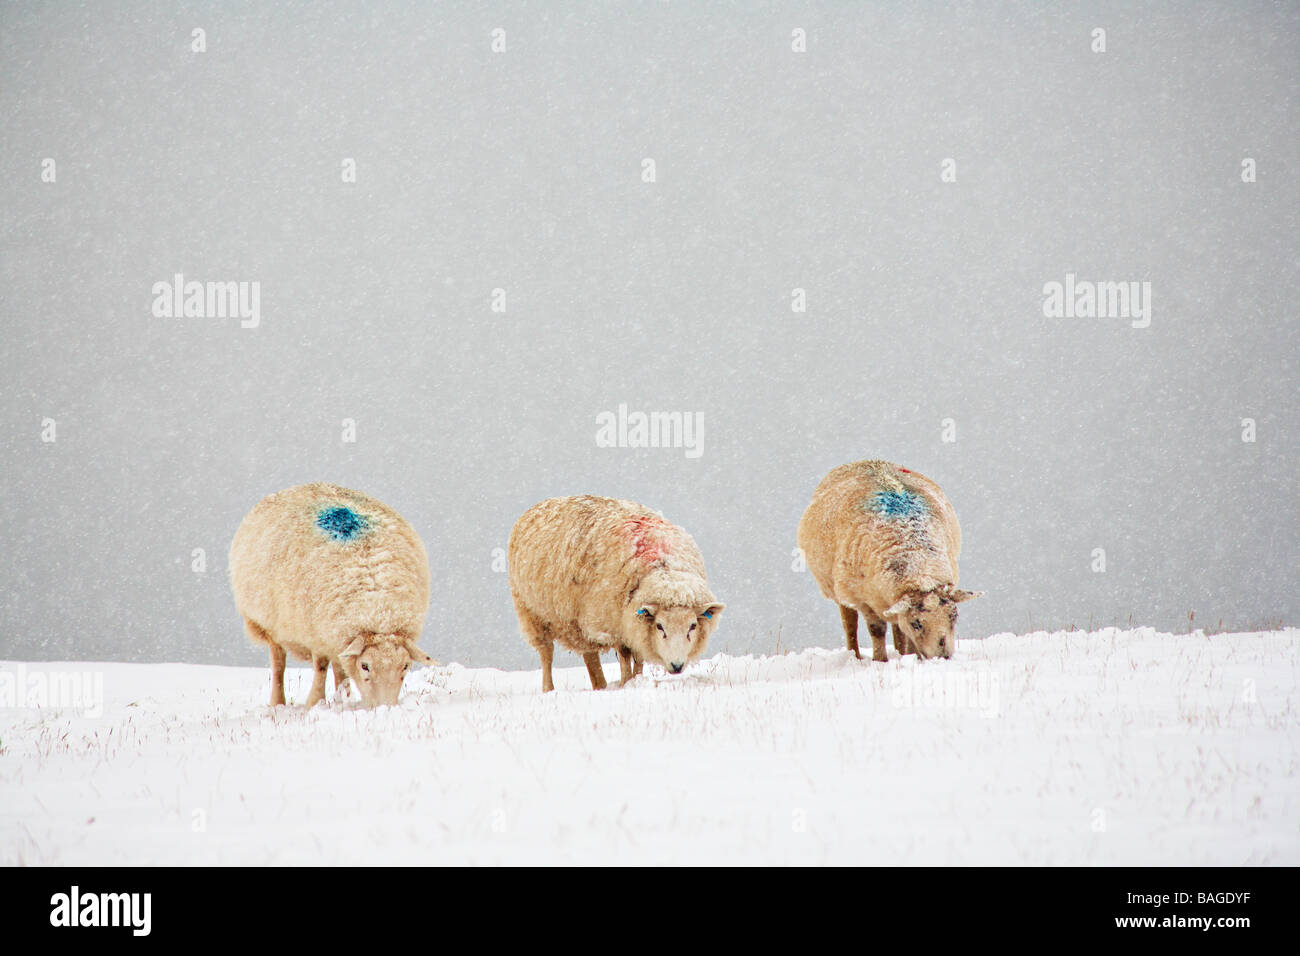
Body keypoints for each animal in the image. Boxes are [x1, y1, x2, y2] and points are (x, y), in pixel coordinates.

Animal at [229, 482, 436, 708]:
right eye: (365, 666)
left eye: (405, 666)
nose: (384, 707)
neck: (379, 610)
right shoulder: (315, 632)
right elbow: (320, 666)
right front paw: (315, 702)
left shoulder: (334, 633)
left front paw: (341, 700)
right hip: (271, 625)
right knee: (278, 664)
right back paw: (277, 703)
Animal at [507, 495, 725, 692]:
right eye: (660, 626)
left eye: (693, 626)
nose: (677, 666)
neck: (662, 567)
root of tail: (537, 506)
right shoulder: (617, 624)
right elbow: (625, 655)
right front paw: (626, 682)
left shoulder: (633, 626)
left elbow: (638, 658)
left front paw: (636, 679)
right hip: (532, 613)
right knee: (547, 654)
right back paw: (549, 689)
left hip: (579, 622)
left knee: (590, 655)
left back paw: (600, 686)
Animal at [797, 460, 982, 661]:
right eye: (917, 624)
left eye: (953, 617)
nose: (943, 657)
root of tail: (863, 460)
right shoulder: (864, 598)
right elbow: (876, 629)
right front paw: (880, 660)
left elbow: (902, 631)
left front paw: (911, 656)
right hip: (841, 590)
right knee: (850, 624)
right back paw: (855, 656)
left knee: (896, 626)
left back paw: (901, 652)